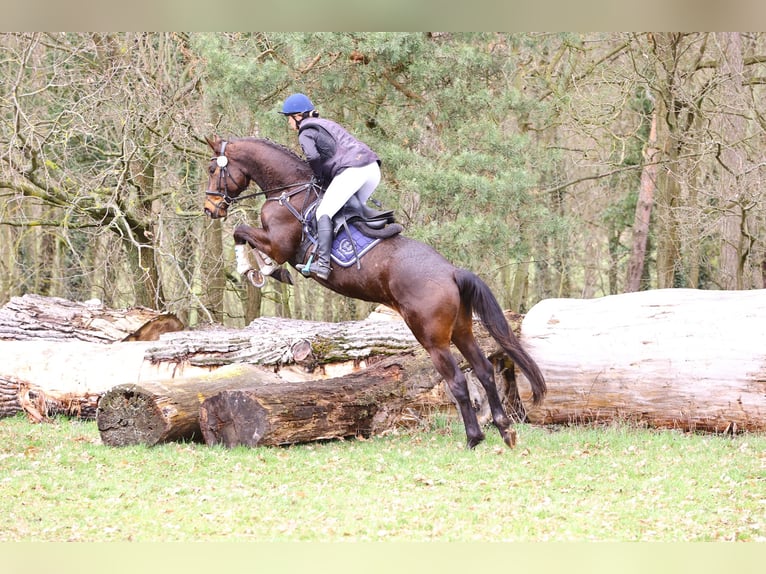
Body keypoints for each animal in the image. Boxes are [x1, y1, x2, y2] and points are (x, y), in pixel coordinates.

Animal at [204, 136, 544, 450]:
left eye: (211, 169)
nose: (210, 208)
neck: (290, 191)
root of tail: (452, 272)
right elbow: (245, 235)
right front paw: (264, 269)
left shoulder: (278, 243)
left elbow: (240, 232)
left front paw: (257, 269)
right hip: (462, 330)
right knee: (484, 371)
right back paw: (505, 430)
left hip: (432, 338)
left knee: (458, 382)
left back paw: (474, 438)